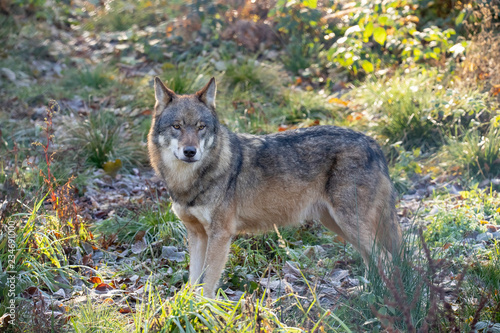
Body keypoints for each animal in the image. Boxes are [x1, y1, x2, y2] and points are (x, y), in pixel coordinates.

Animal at [147, 76, 402, 296]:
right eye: (177, 127)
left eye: (201, 127)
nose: (190, 152)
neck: (189, 181)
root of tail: (374, 144)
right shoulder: (197, 234)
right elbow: (193, 280)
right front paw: (189, 306)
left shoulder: (220, 234)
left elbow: (207, 282)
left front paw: (203, 310)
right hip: (339, 225)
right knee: (375, 260)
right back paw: (367, 293)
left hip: (350, 223)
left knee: (387, 259)